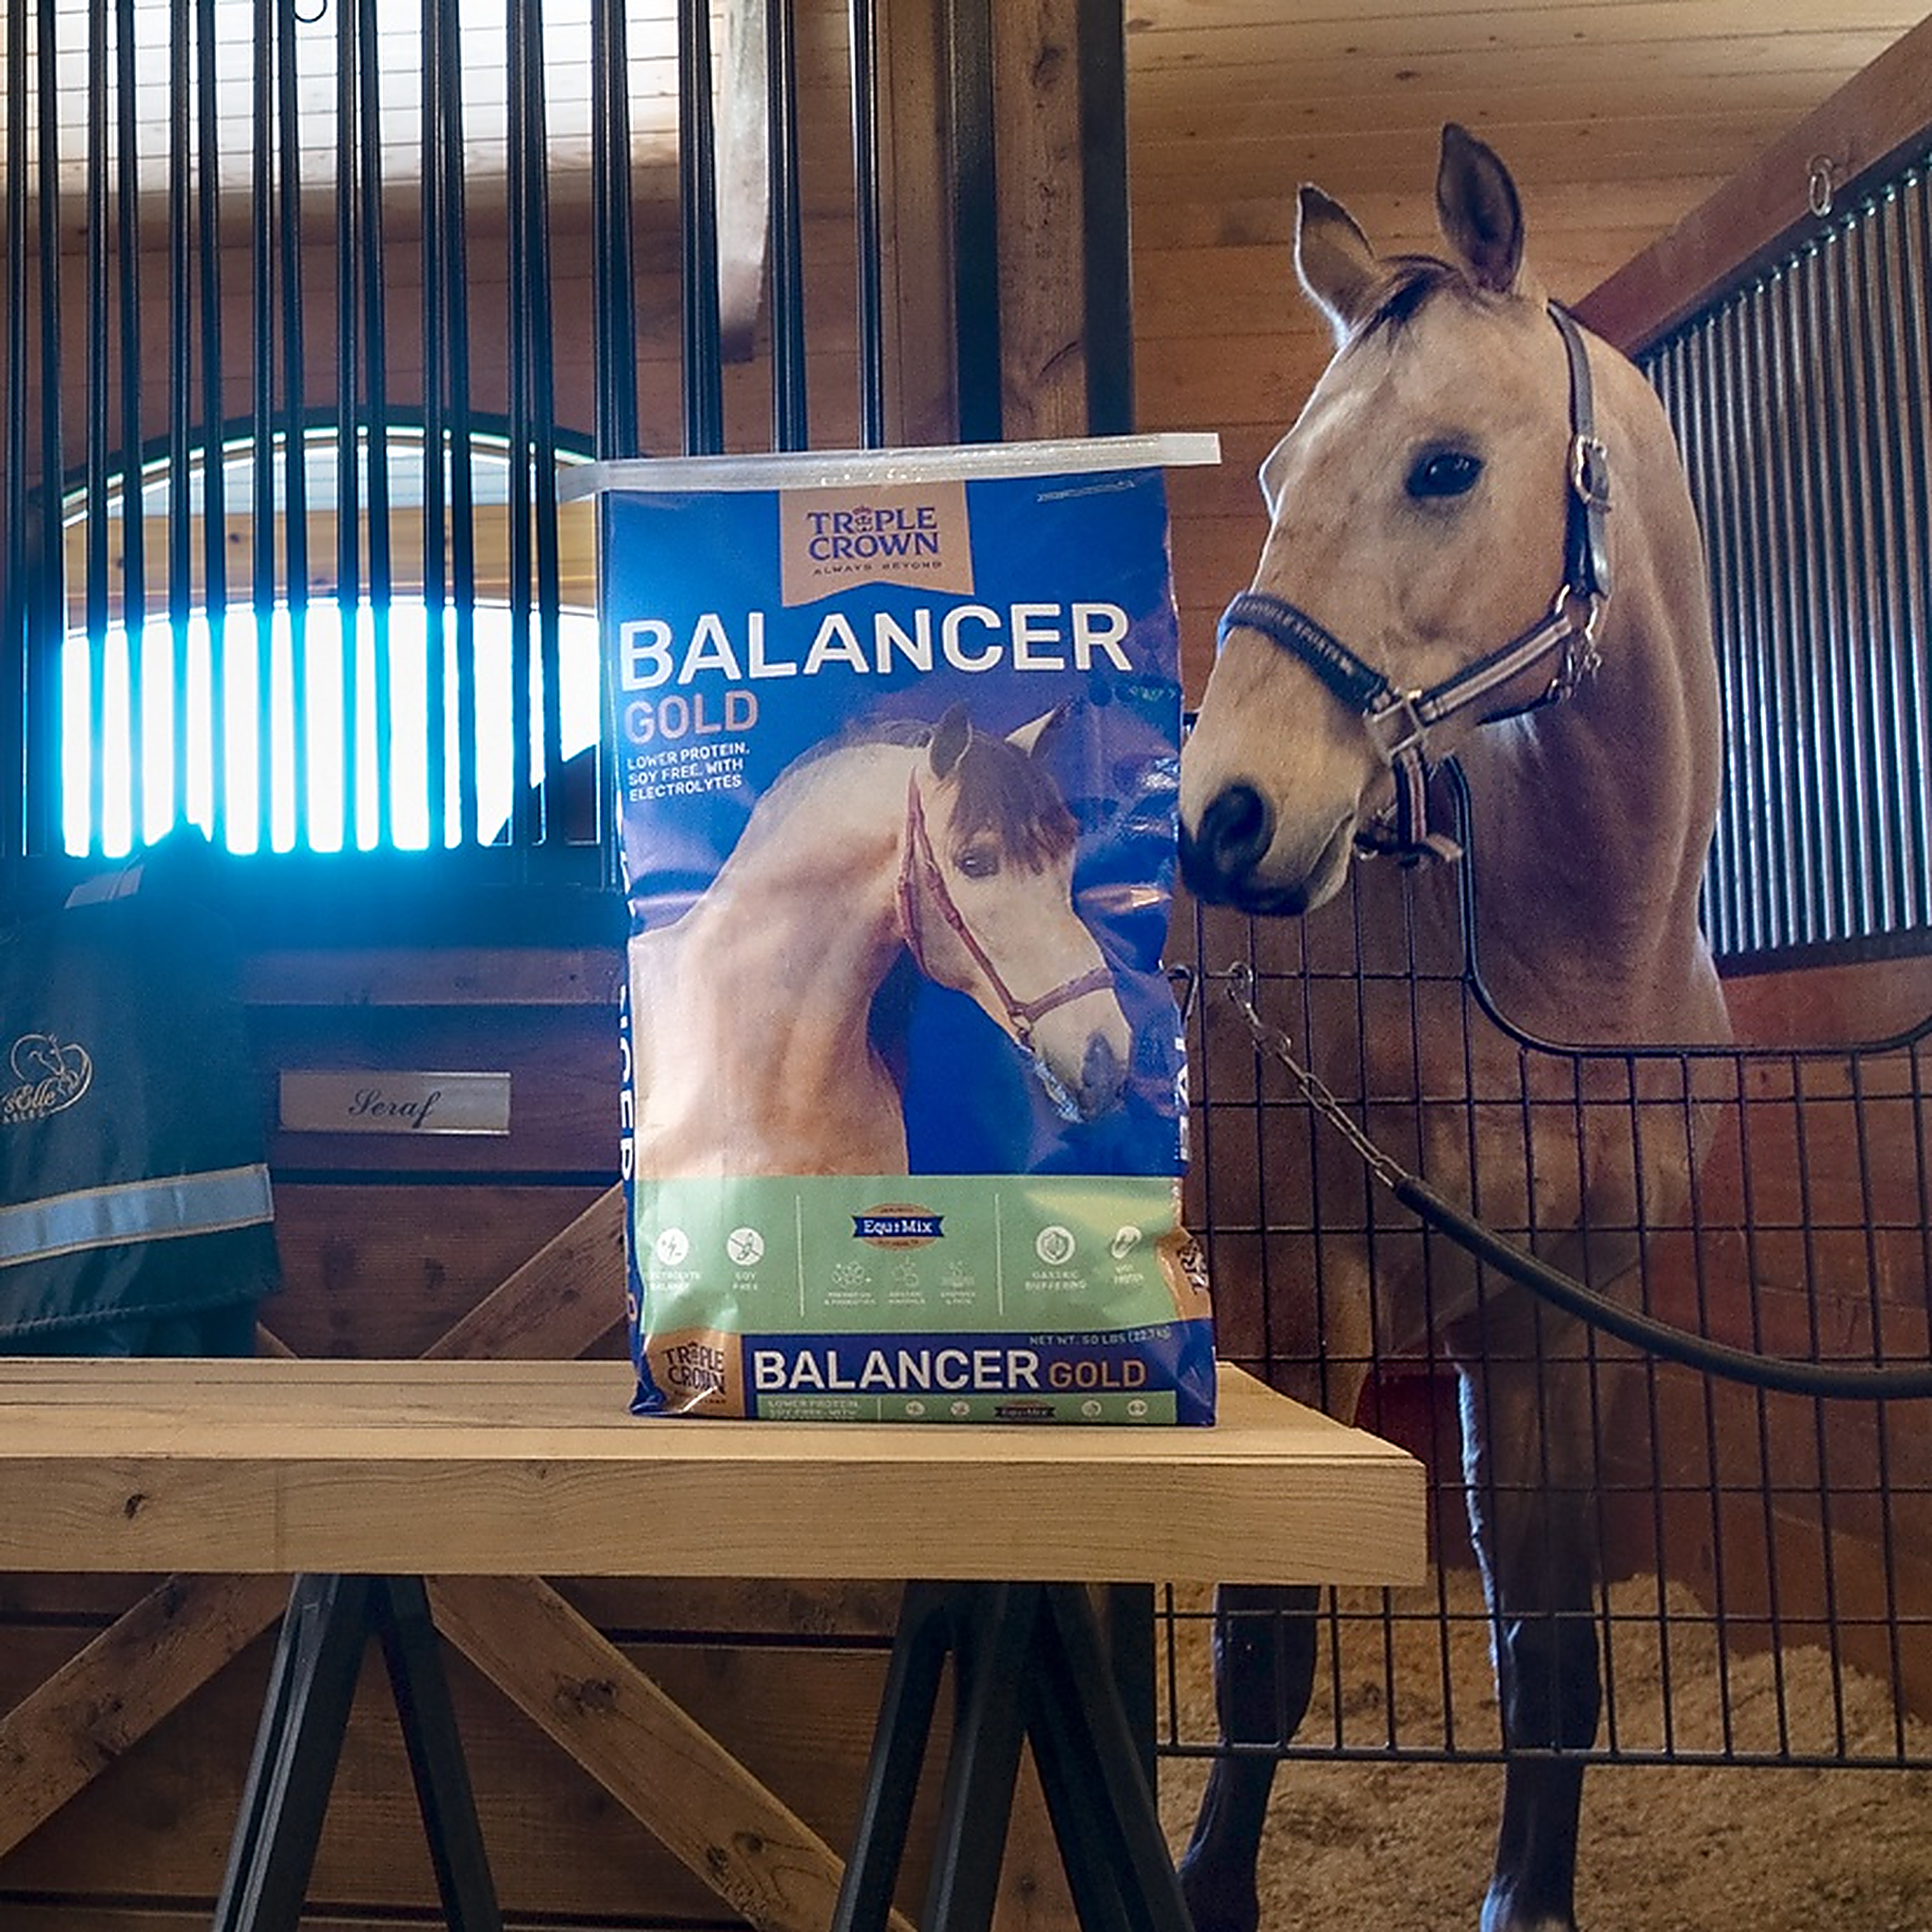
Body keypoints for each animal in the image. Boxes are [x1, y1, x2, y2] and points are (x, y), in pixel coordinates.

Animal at [1174, 124, 1733, 1932]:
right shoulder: (1296, 1311)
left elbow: (1547, 1656)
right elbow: (1263, 1662)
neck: (1554, 971)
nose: (1225, 817)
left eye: (1441, 468)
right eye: (1279, 477)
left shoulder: (1557, 1327)